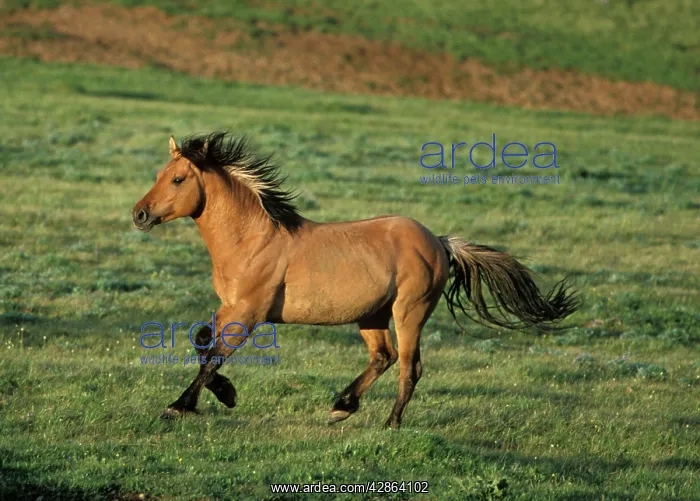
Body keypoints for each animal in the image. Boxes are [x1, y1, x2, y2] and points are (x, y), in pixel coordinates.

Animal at [132, 132, 581, 428]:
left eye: (177, 180)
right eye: (159, 173)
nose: (139, 214)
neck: (252, 240)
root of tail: (437, 241)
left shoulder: (250, 313)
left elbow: (214, 356)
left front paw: (180, 405)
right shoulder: (231, 308)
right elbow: (202, 341)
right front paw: (226, 394)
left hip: (409, 311)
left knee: (410, 366)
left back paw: (390, 423)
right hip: (372, 315)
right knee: (383, 356)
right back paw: (342, 405)